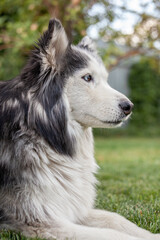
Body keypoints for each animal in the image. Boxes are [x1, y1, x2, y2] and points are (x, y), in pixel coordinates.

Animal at [0, 19, 159, 240]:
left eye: (105, 79)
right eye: (87, 78)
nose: (129, 107)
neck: (39, 131)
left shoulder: (71, 207)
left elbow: (115, 219)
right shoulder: (39, 221)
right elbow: (111, 234)